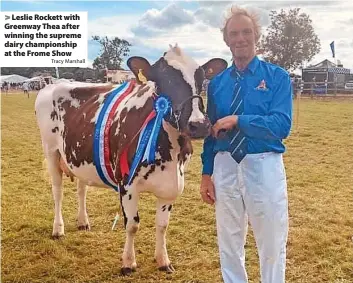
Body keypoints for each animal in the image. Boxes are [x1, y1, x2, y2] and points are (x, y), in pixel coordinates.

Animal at [35, 45, 226, 276]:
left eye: (201, 79)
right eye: (165, 78)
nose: (199, 125)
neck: (170, 152)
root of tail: (55, 84)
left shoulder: (171, 185)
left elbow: (162, 225)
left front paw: (163, 260)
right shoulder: (127, 183)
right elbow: (132, 224)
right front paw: (128, 263)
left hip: (79, 156)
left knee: (81, 189)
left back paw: (83, 221)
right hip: (51, 151)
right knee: (57, 192)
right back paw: (58, 229)